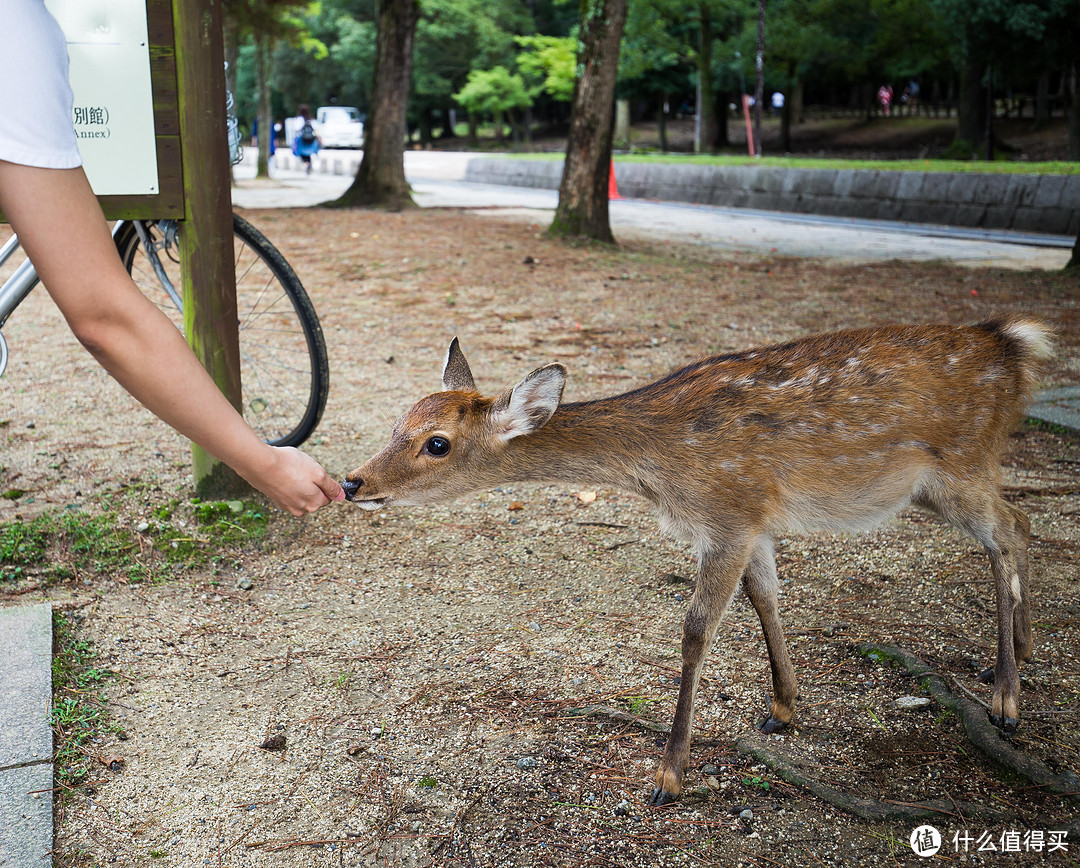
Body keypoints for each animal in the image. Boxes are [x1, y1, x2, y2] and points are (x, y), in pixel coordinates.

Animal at [341, 319, 1049, 807]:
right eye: (400, 419)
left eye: (437, 443)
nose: (351, 482)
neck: (659, 470)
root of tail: (1017, 345)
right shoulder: (752, 520)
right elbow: (765, 597)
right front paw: (784, 706)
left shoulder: (729, 513)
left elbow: (695, 630)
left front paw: (668, 774)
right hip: (939, 481)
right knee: (1021, 523)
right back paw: (1019, 654)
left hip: (959, 463)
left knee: (1006, 530)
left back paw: (1006, 701)